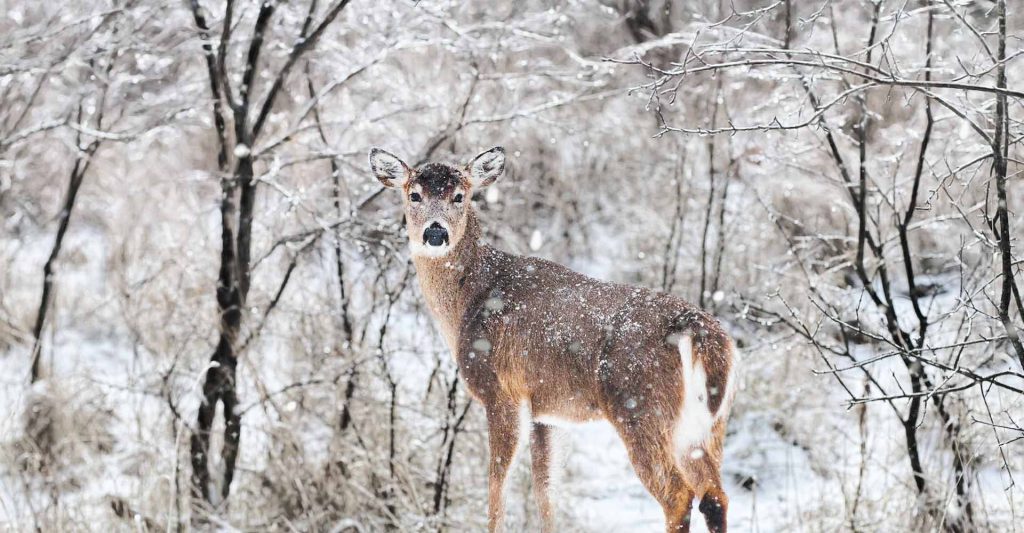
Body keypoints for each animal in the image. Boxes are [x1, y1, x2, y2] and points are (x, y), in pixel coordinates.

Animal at [372, 145, 741, 531]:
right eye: (414, 194)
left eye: (460, 196)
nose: (435, 233)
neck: (469, 300)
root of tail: (699, 330)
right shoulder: (546, 413)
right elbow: (546, 492)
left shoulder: (501, 391)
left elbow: (497, 487)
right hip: (706, 425)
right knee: (715, 495)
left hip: (641, 407)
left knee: (678, 495)